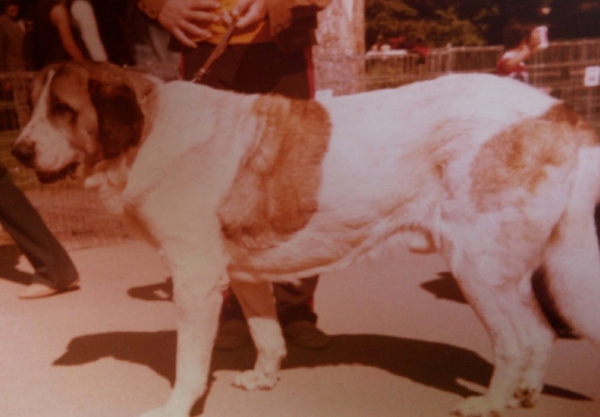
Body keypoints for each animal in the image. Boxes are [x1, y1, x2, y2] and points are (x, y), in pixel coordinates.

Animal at [10, 62, 600, 416]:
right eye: (33, 107)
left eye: (63, 111)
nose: (17, 151)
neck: (147, 131)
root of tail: (557, 109)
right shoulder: (243, 276)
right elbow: (268, 335)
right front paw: (263, 379)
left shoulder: (196, 283)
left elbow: (189, 364)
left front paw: (177, 406)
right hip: (505, 271)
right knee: (540, 333)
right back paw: (523, 394)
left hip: (476, 265)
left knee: (516, 340)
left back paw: (491, 402)